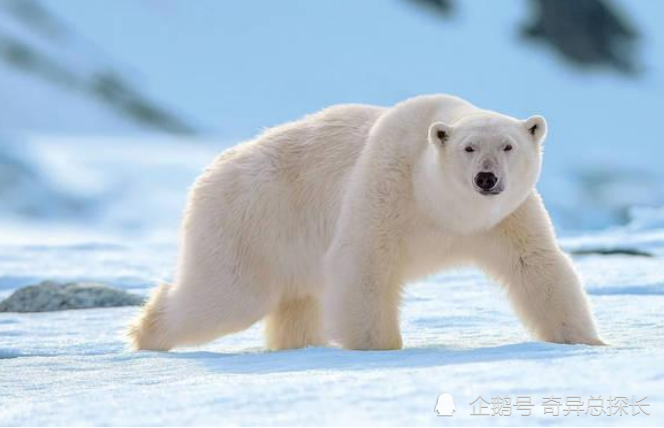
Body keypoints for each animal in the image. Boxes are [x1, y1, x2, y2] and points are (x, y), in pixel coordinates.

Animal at [127, 93, 604, 352]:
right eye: (468, 148)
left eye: (508, 145)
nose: (486, 179)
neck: (442, 208)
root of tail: (210, 172)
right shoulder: (387, 186)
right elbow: (364, 264)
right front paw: (380, 347)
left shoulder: (505, 218)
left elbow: (536, 265)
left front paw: (587, 341)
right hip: (250, 222)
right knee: (227, 295)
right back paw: (145, 333)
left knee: (296, 303)